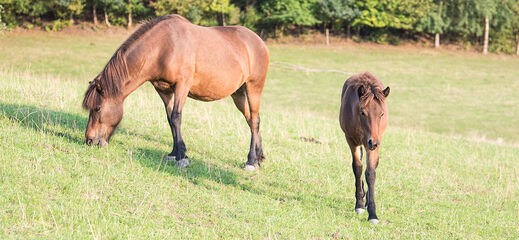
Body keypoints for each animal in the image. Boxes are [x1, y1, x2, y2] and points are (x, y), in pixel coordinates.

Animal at [82, 14, 268, 171]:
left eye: (97, 108)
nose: (89, 140)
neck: (162, 47)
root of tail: (259, 41)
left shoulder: (182, 86)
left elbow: (176, 117)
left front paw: (181, 158)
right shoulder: (163, 90)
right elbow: (170, 119)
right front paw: (175, 153)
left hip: (254, 88)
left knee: (255, 120)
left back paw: (251, 161)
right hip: (238, 94)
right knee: (251, 120)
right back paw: (259, 157)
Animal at [342, 72, 390, 224]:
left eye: (382, 114)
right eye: (363, 112)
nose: (373, 142)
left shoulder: (373, 145)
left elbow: (371, 173)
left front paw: (373, 213)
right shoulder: (352, 140)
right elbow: (357, 168)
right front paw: (359, 205)